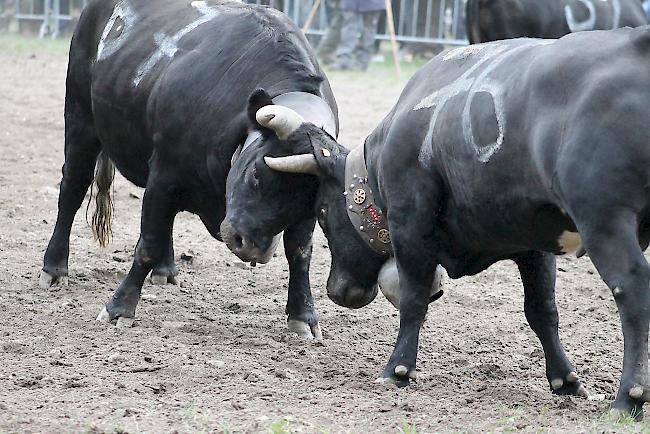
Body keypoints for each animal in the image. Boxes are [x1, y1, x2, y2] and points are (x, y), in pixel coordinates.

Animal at [39, 0, 340, 340]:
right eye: (255, 174)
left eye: (308, 203)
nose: (252, 246)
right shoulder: (164, 176)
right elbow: (148, 243)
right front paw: (119, 308)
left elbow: (300, 254)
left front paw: (303, 316)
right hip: (80, 120)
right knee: (72, 191)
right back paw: (54, 268)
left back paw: (165, 269)